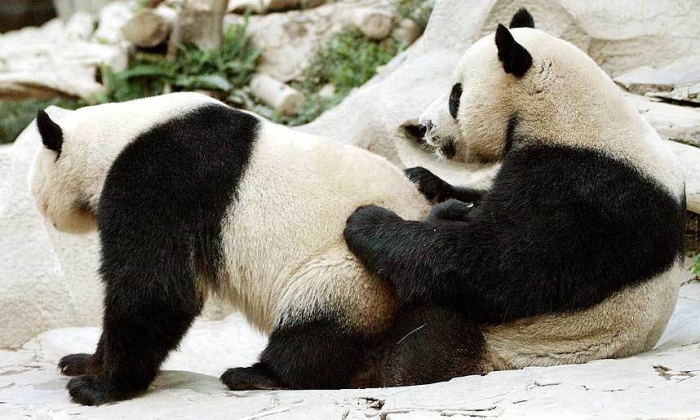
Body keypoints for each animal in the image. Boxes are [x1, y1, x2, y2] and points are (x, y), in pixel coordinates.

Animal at [30, 92, 492, 406]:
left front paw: (97, 387)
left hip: (351, 269)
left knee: (320, 325)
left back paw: (258, 375)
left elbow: (155, 289)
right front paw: (79, 362)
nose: (45, 215)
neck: (119, 134)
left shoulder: (161, 177)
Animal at [344, 8, 686, 372]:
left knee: (430, 334)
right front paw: (424, 179)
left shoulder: (586, 189)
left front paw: (367, 221)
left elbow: (497, 264)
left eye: (455, 96)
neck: (567, 112)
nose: (425, 126)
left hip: (511, 346)